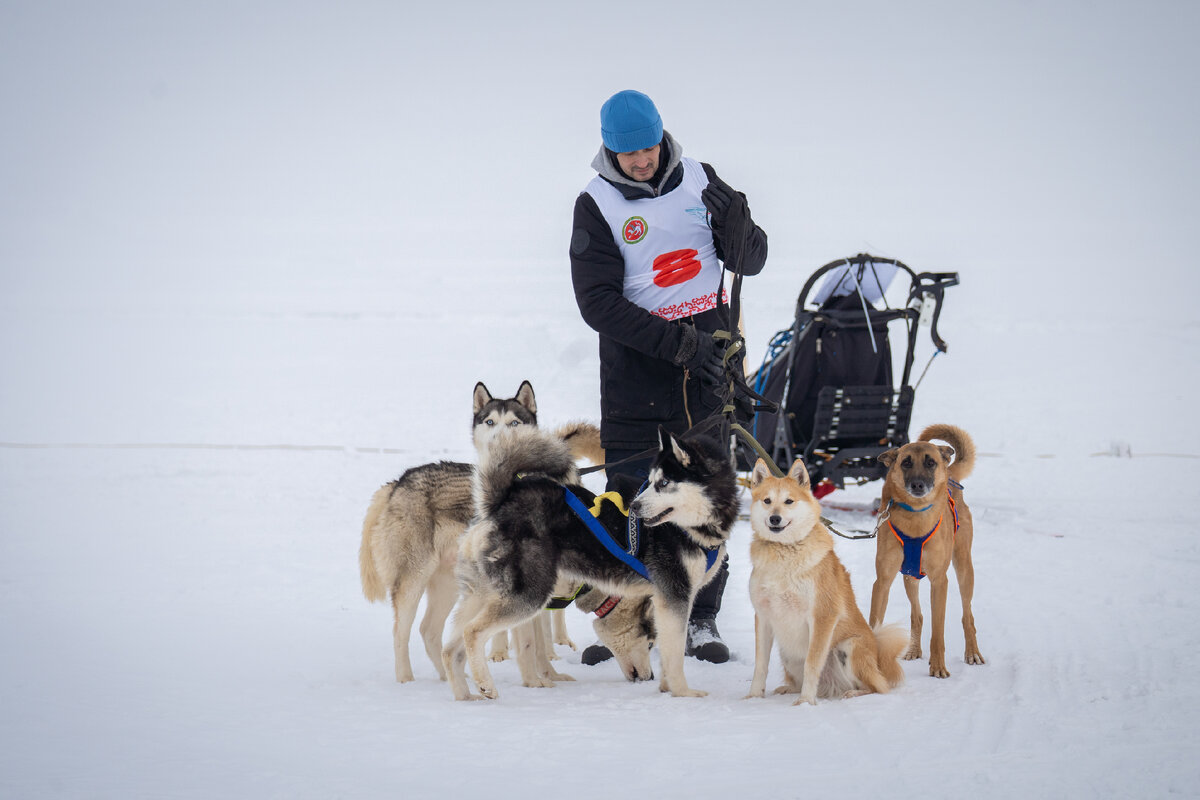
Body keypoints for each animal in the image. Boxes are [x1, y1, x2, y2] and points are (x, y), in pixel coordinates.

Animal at [744, 455, 902, 705]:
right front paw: (754, 696)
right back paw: (789, 689)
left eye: (789, 501)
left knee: (877, 686)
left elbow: (812, 663)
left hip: (849, 647)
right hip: (788, 652)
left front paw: (805, 702)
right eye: (767, 501)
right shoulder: (764, 616)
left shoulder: (822, 617)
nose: (775, 518)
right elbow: (761, 664)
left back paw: (852, 693)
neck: (785, 552)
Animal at [873, 422, 984, 681]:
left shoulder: (939, 582)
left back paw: (972, 652)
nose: (917, 485)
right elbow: (875, 623)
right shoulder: (882, 581)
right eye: (906, 462)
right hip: (909, 576)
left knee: (967, 615)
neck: (916, 517)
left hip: (964, 569)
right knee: (917, 615)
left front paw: (938, 667)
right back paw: (914, 649)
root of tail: (950, 473)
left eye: (930, 462)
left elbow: (938, 632)